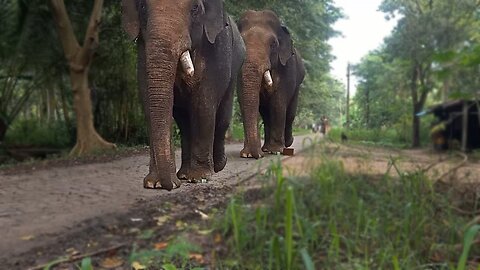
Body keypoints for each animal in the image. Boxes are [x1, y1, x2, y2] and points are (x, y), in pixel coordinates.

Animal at [122, 0, 246, 190]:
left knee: (222, 116)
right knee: (184, 121)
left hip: (236, 65)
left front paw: (200, 177)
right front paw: (154, 183)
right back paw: (185, 174)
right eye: (142, 6)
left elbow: (203, 103)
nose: (171, 186)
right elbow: (149, 101)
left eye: (195, 8)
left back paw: (217, 166)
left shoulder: (216, 50)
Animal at [235, 10, 304, 158]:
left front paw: (276, 151)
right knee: (266, 115)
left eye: (273, 44)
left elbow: (278, 102)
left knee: (290, 113)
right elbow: (244, 100)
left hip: (298, 85)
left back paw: (286, 143)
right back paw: (266, 148)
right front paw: (247, 154)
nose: (258, 156)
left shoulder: (287, 69)